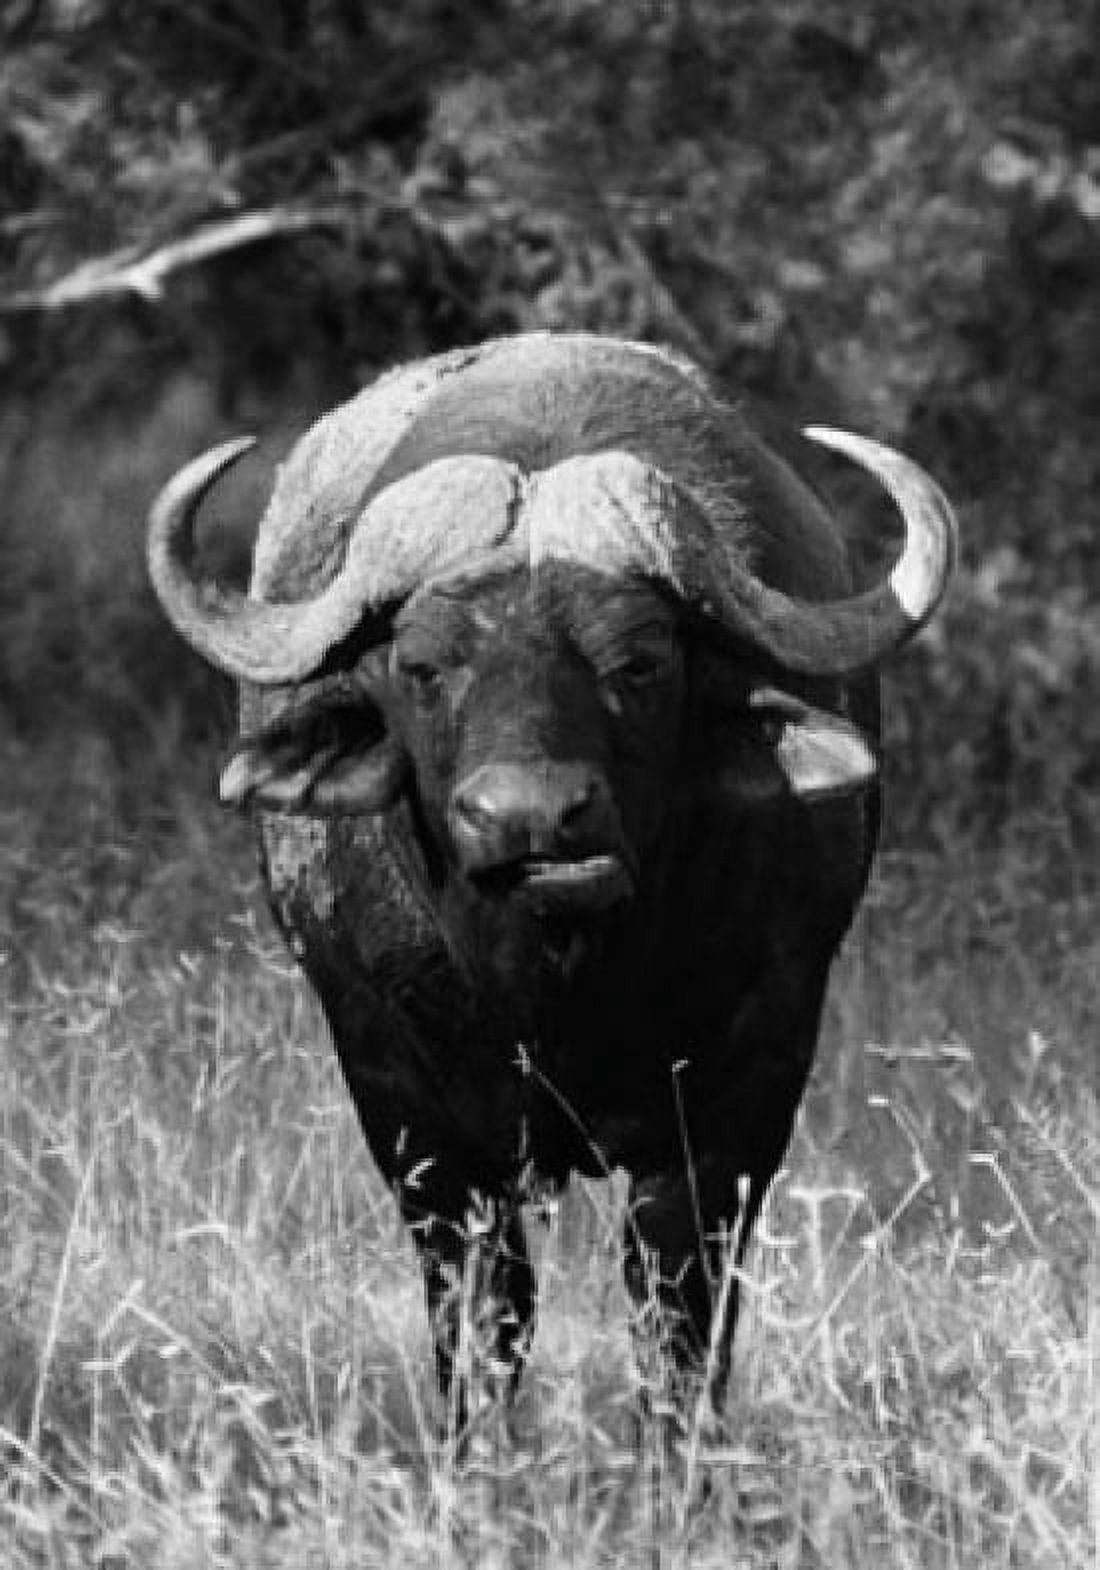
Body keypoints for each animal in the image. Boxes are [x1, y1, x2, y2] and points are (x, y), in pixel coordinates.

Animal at [148, 332, 955, 1410]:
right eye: (420, 666)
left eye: (639, 662)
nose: (529, 818)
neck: (556, 988)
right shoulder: (409, 1110)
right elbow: (484, 1312)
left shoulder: (744, 1093)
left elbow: (677, 1315)